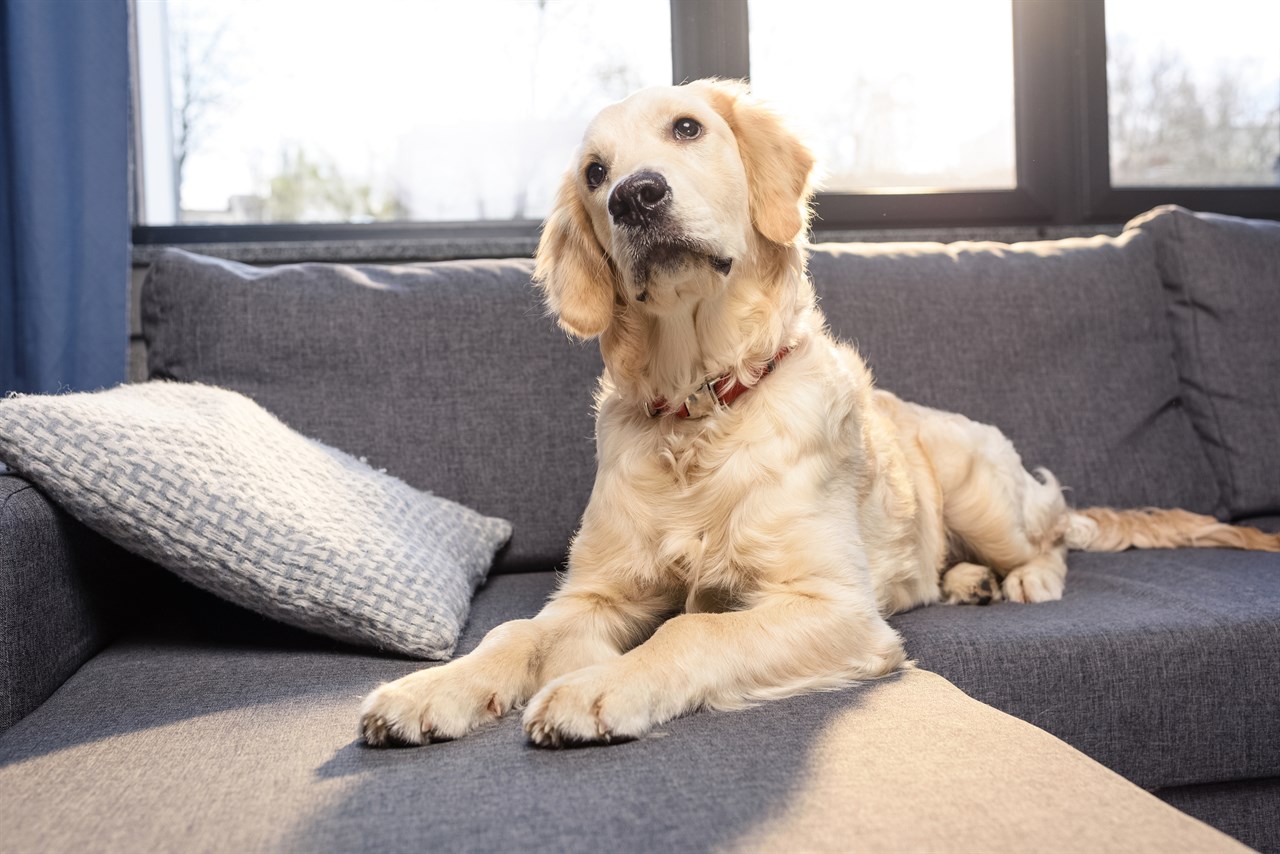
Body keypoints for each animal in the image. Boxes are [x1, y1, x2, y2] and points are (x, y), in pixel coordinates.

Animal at [360, 80, 1280, 747]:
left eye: (688, 129)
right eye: (594, 172)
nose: (635, 196)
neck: (701, 403)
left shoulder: (834, 606)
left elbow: (691, 635)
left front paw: (596, 687)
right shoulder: (594, 592)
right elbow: (516, 634)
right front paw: (432, 689)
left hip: (981, 491)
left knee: (1054, 539)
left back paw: (1021, 580)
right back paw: (966, 582)